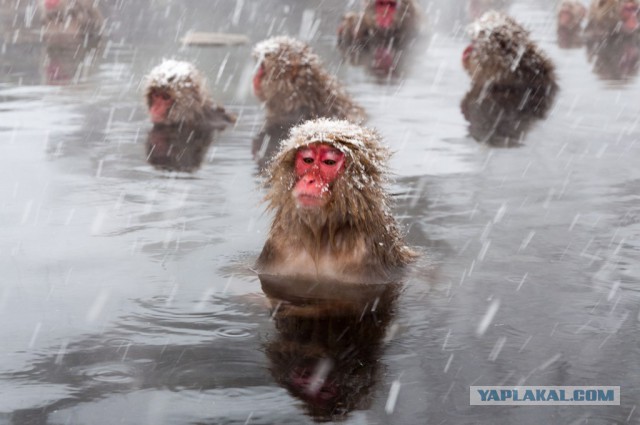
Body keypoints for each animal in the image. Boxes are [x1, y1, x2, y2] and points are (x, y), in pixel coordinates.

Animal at [258, 117, 418, 284]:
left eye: (329, 162)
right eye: (308, 160)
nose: (309, 180)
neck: (321, 234)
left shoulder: (364, 252)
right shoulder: (279, 243)